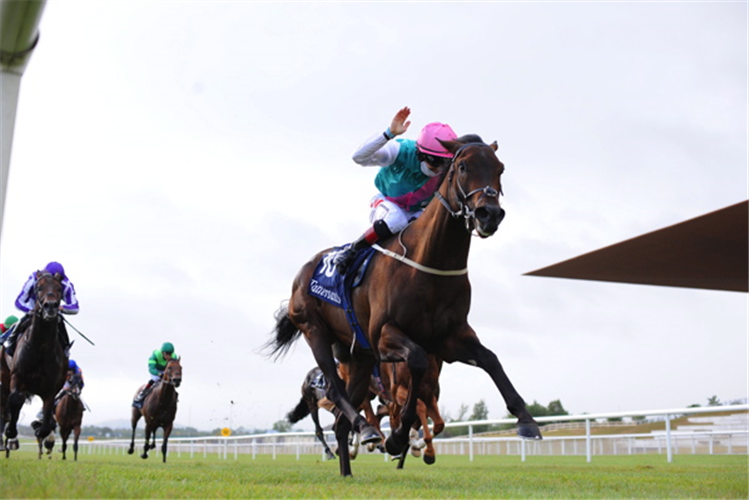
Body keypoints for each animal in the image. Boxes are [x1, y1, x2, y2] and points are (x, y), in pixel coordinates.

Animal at [0, 272, 68, 458]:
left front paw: (44, 436)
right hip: (6, 376)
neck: (41, 346)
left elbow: (48, 418)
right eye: (38, 287)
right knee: (8, 402)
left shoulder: (51, 388)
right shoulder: (18, 376)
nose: (50, 306)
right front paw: (10, 433)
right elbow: (15, 399)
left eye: (59, 288)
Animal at [266, 136, 540, 476]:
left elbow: (491, 360)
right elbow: (418, 363)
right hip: (315, 331)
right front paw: (397, 438)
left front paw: (527, 421)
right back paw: (367, 430)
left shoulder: (451, 338)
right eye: (463, 167)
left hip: (357, 356)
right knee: (334, 391)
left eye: (500, 168)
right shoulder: (384, 337)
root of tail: (304, 270)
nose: (489, 214)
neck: (429, 264)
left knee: (341, 419)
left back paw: (348, 469)